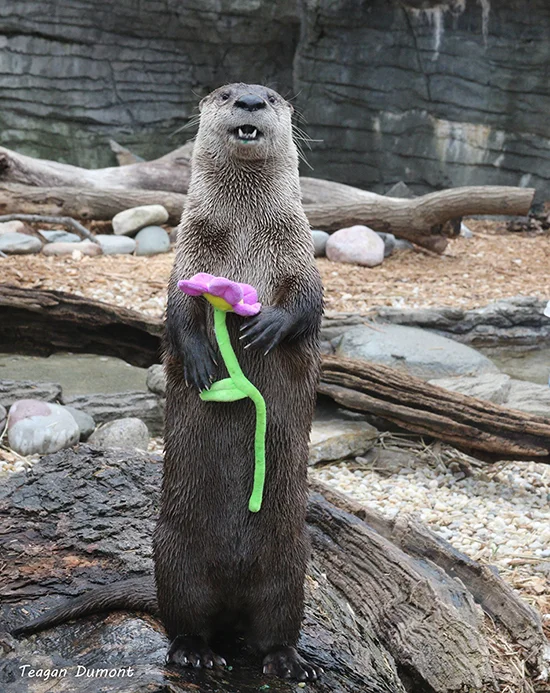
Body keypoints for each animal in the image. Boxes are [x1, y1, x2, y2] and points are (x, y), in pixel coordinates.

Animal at [12, 83, 324, 682]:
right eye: (227, 93)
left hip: (292, 561)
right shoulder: (188, 257)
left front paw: (267, 326)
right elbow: (178, 315)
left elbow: (307, 302)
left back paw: (286, 659)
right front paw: (202, 362)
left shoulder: (300, 254)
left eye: (272, 97)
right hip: (174, 554)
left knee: (276, 621)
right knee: (187, 618)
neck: (245, 234)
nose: (250, 101)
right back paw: (196, 652)